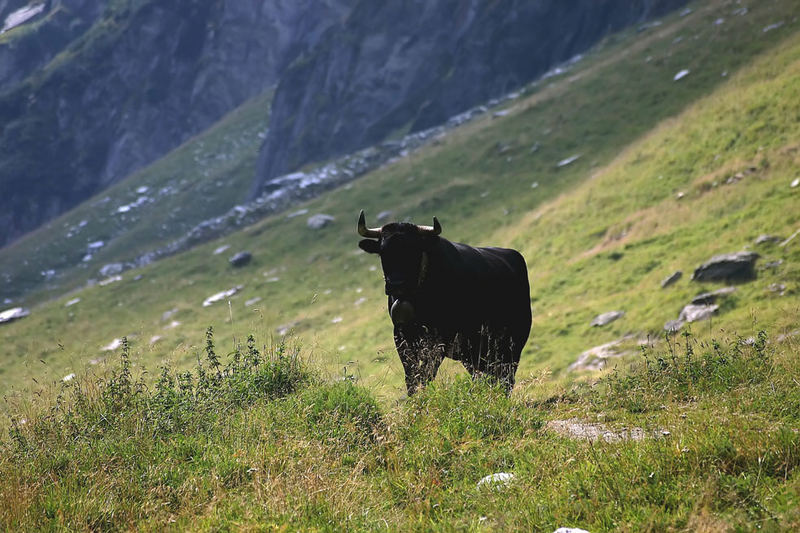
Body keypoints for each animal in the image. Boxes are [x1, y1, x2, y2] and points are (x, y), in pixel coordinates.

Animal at [356, 210, 532, 392]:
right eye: (383, 251)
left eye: (414, 249)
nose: (396, 284)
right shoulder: (401, 335)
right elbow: (411, 377)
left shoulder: (441, 339)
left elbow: (426, 374)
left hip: (514, 342)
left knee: (506, 377)